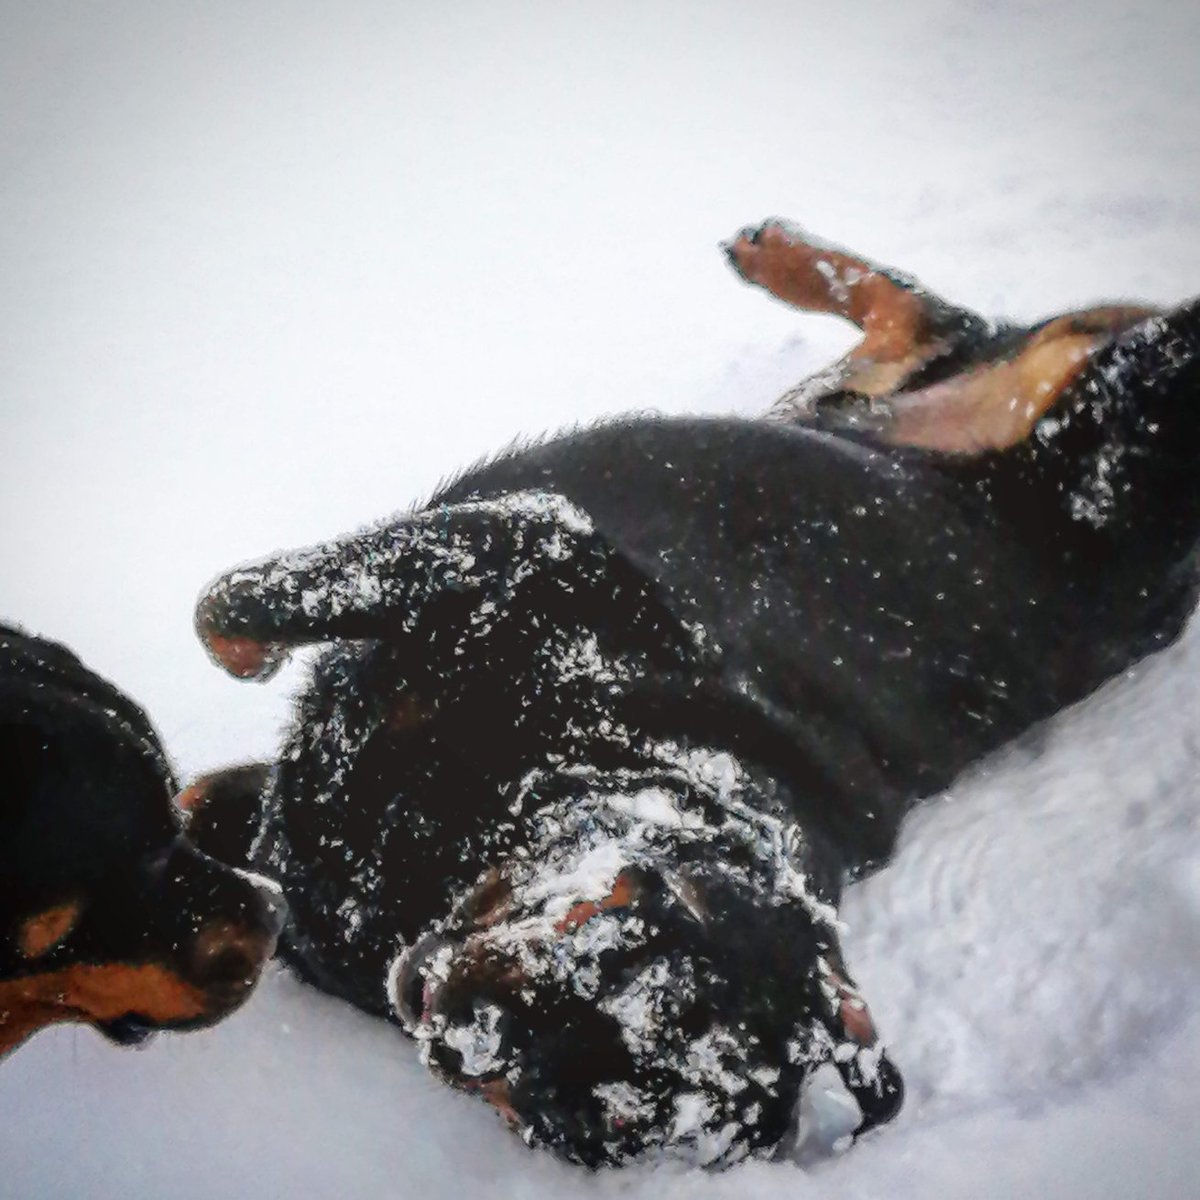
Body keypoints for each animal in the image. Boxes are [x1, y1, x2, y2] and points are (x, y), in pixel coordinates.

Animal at [189, 220, 1200, 1166]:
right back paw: (781, 253)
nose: (462, 1037)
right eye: (621, 955)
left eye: (580, 1124)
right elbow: (234, 607)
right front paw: (242, 664)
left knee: (940, 321)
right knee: (935, 318)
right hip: (1030, 403)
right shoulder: (541, 542)